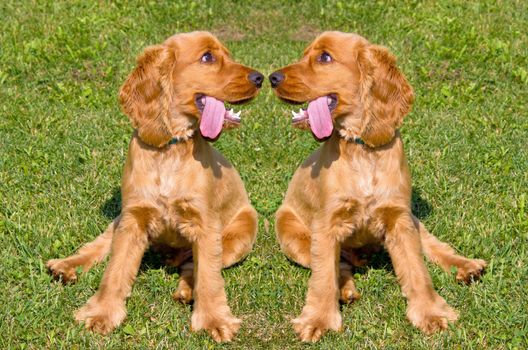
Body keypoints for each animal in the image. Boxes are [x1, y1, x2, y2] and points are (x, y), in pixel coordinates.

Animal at [47, 31, 264, 344]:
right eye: (208, 57)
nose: (260, 77)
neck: (169, 149)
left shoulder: (205, 224)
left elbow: (209, 277)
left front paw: (213, 320)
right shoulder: (133, 218)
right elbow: (115, 269)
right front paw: (101, 313)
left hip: (240, 236)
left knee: (196, 266)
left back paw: (187, 289)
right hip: (120, 218)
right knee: (101, 244)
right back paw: (66, 265)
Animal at [270, 31, 484, 340]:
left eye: (324, 57)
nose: (272, 78)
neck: (363, 149)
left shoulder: (399, 219)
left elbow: (417, 269)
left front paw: (431, 312)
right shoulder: (326, 224)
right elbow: (323, 277)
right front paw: (318, 320)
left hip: (412, 219)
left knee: (432, 245)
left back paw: (466, 266)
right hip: (293, 237)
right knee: (337, 265)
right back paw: (346, 289)